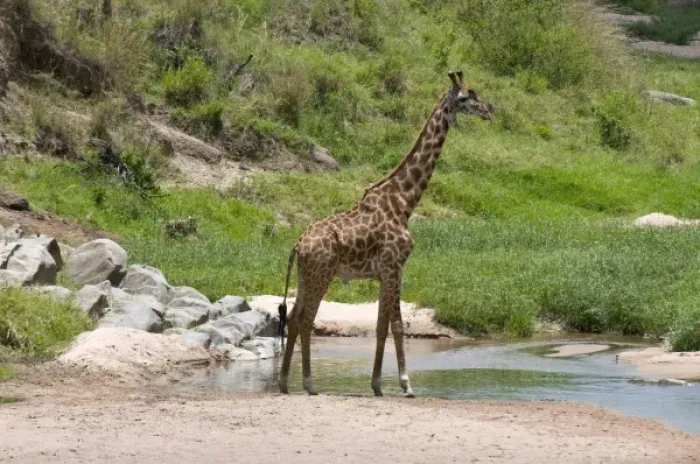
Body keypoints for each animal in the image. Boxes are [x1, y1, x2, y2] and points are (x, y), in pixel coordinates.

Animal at [277, 70, 491, 397]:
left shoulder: (383, 273)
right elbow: (398, 326)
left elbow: (381, 327)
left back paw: (284, 383)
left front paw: (377, 385)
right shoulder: (395, 266)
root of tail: (298, 244)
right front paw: (406, 385)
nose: (489, 111)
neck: (404, 202)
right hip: (322, 274)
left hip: (305, 276)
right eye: (467, 97)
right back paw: (309, 384)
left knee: (292, 317)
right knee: (305, 320)